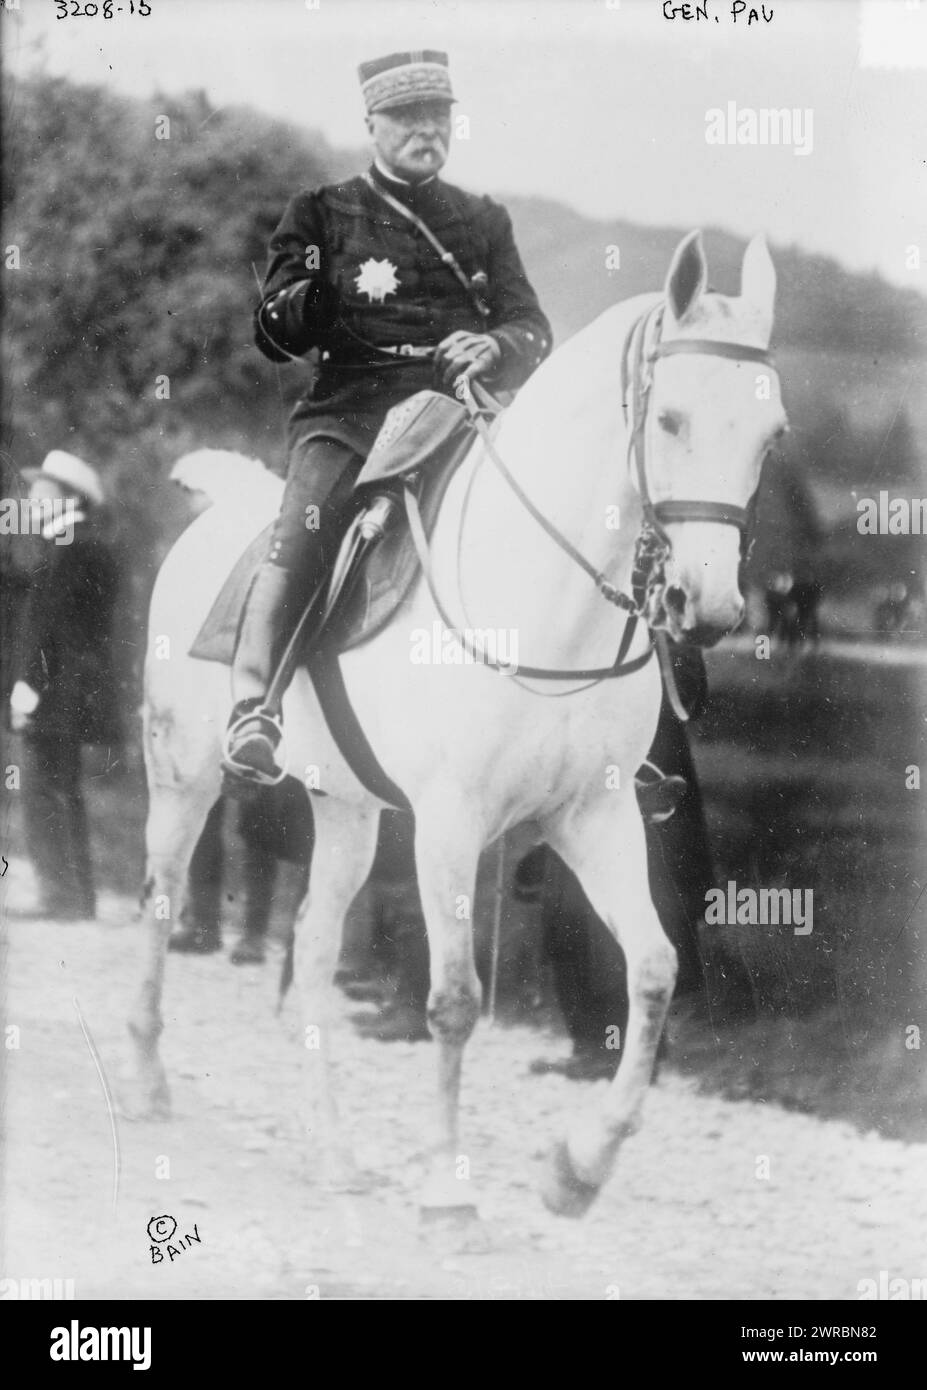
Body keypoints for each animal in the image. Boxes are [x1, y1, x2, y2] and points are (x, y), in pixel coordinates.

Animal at [127, 227, 789, 1217]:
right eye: (669, 418)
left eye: (770, 433)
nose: (702, 606)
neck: (545, 605)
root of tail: (226, 511)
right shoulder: (449, 824)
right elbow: (452, 1000)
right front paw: (447, 1184)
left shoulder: (593, 817)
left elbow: (653, 969)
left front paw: (578, 1168)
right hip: (184, 780)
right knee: (161, 902)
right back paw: (148, 1080)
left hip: (348, 811)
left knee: (313, 950)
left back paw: (332, 1150)